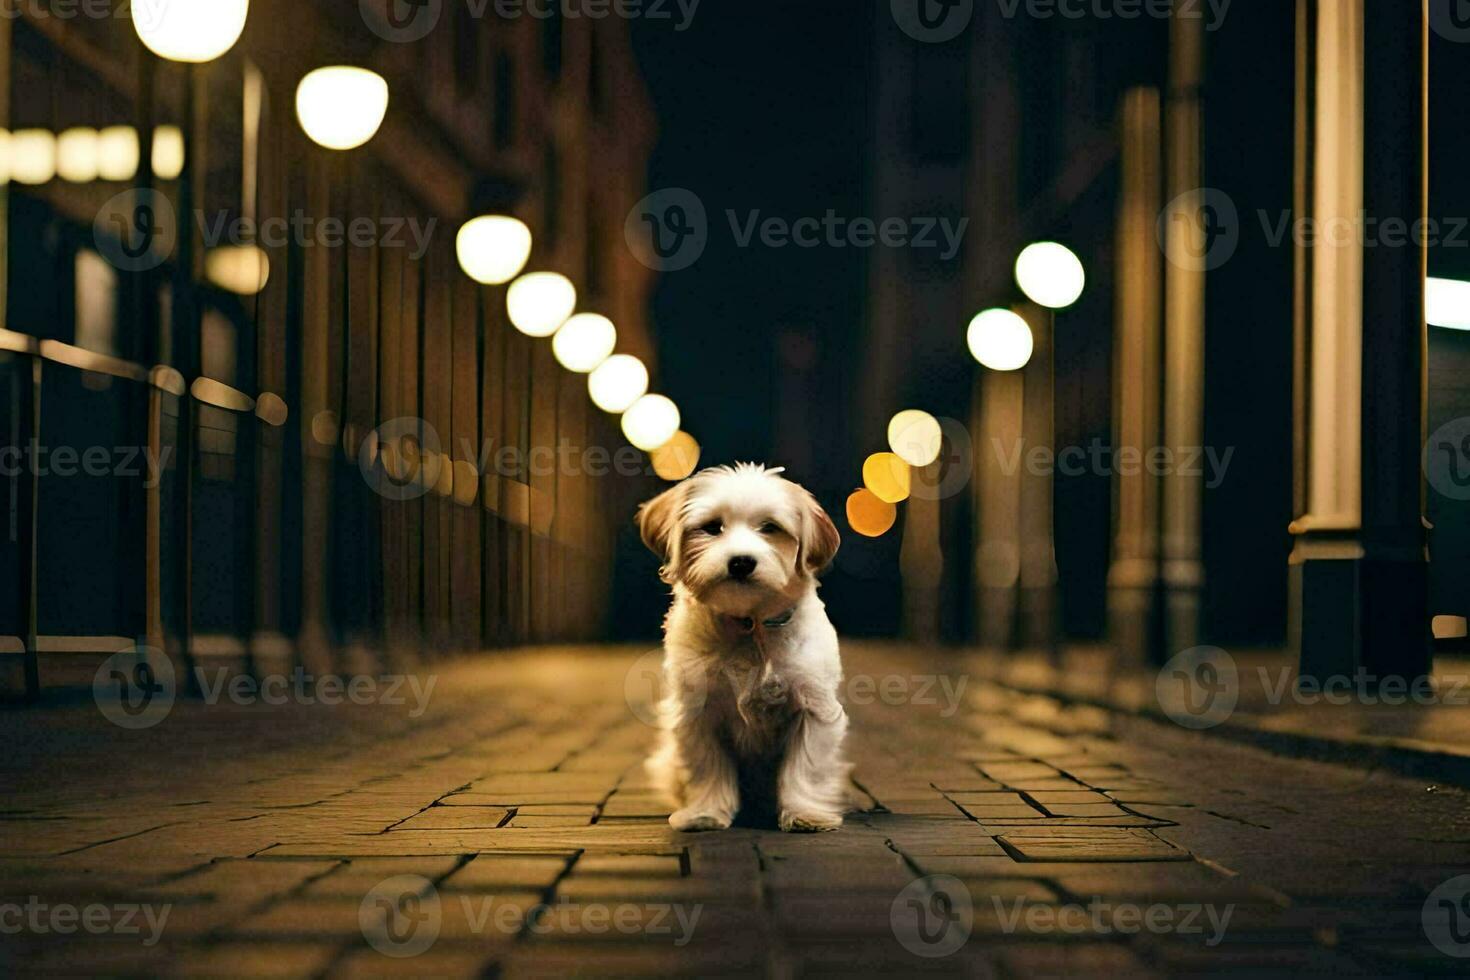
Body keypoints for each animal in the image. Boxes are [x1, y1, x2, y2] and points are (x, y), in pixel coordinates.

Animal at [635, 464, 852, 834]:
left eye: (770, 528)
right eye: (712, 527)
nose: (741, 562)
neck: (748, 625)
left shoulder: (814, 708)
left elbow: (805, 767)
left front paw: (805, 813)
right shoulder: (697, 712)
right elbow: (706, 767)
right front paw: (705, 812)